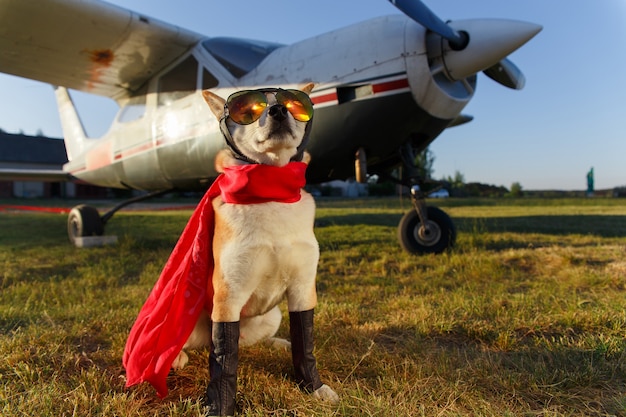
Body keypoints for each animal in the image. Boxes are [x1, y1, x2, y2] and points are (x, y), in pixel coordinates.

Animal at [171, 83, 336, 414]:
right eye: (249, 109)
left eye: (294, 102)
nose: (278, 111)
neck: (271, 193)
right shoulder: (229, 294)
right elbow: (224, 362)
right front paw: (219, 406)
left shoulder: (302, 288)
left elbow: (306, 343)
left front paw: (313, 387)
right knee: (203, 346)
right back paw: (177, 358)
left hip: (272, 316)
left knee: (251, 343)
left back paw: (279, 344)